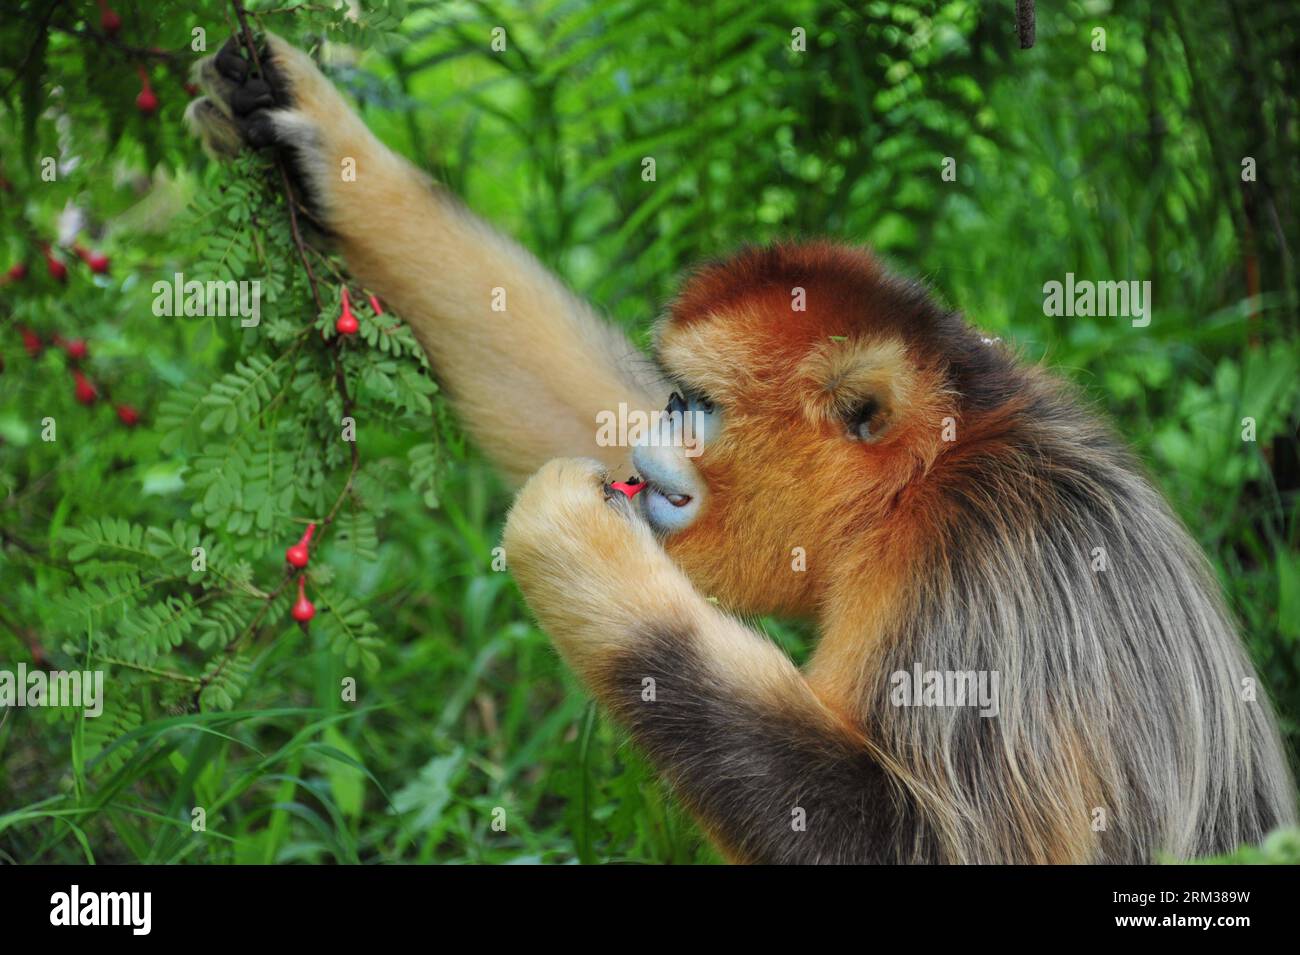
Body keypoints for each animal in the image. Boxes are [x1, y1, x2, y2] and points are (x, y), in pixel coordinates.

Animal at [188, 35, 1294, 867]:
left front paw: (574, 543)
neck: (924, 483)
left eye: (702, 408)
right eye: (673, 398)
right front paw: (319, 137)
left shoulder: (981, 588)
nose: (656, 438)